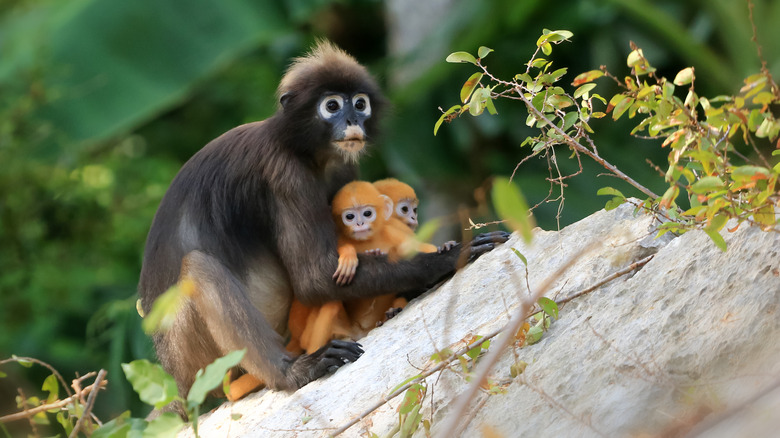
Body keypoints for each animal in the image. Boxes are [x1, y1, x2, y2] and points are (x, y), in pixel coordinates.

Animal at [138, 41, 508, 410]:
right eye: (331, 106)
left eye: (359, 103)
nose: (352, 120)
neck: (307, 150)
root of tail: (174, 378)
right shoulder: (284, 173)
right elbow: (313, 278)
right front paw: (447, 259)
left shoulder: (343, 168)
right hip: (199, 358)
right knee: (199, 267)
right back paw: (291, 372)